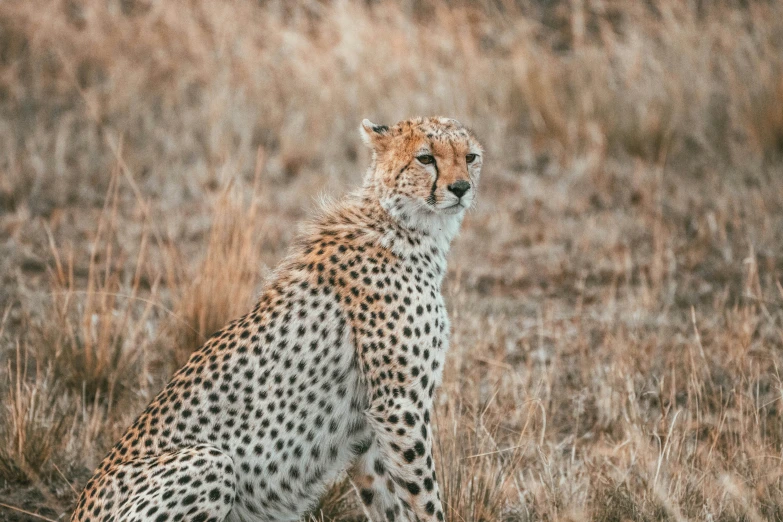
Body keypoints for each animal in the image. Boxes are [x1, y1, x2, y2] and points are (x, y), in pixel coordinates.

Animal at [70, 116, 484, 516]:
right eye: (425, 158)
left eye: (470, 157)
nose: (461, 188)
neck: (406, 227)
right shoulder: (399, 407)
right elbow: (424, 498)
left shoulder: (371, 425)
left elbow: (389, 501)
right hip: (212, 463)